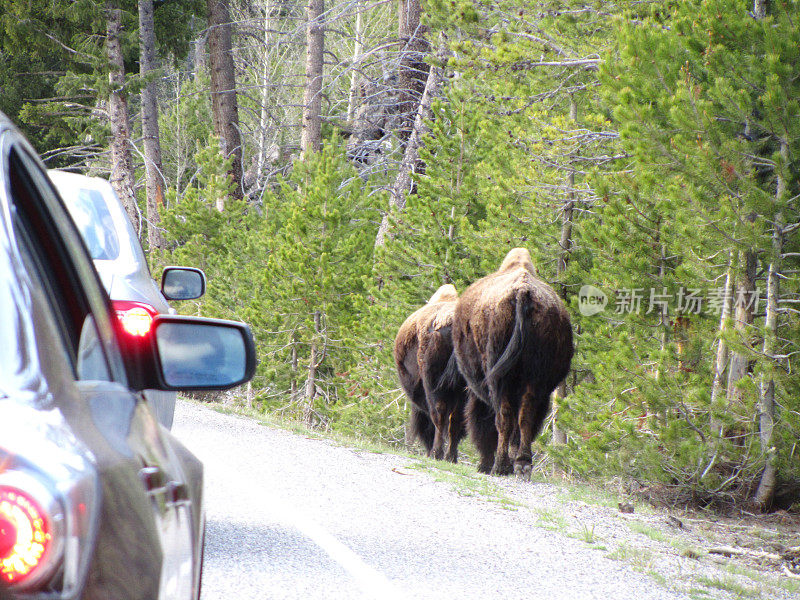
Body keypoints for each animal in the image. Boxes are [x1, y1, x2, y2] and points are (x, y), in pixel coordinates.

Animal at [454, 246, 572, 476]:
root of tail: (522, 294)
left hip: (500, 380)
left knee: (504, 418)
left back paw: (500, 466)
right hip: (535, 379)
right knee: (526, 417)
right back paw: (522, 463)